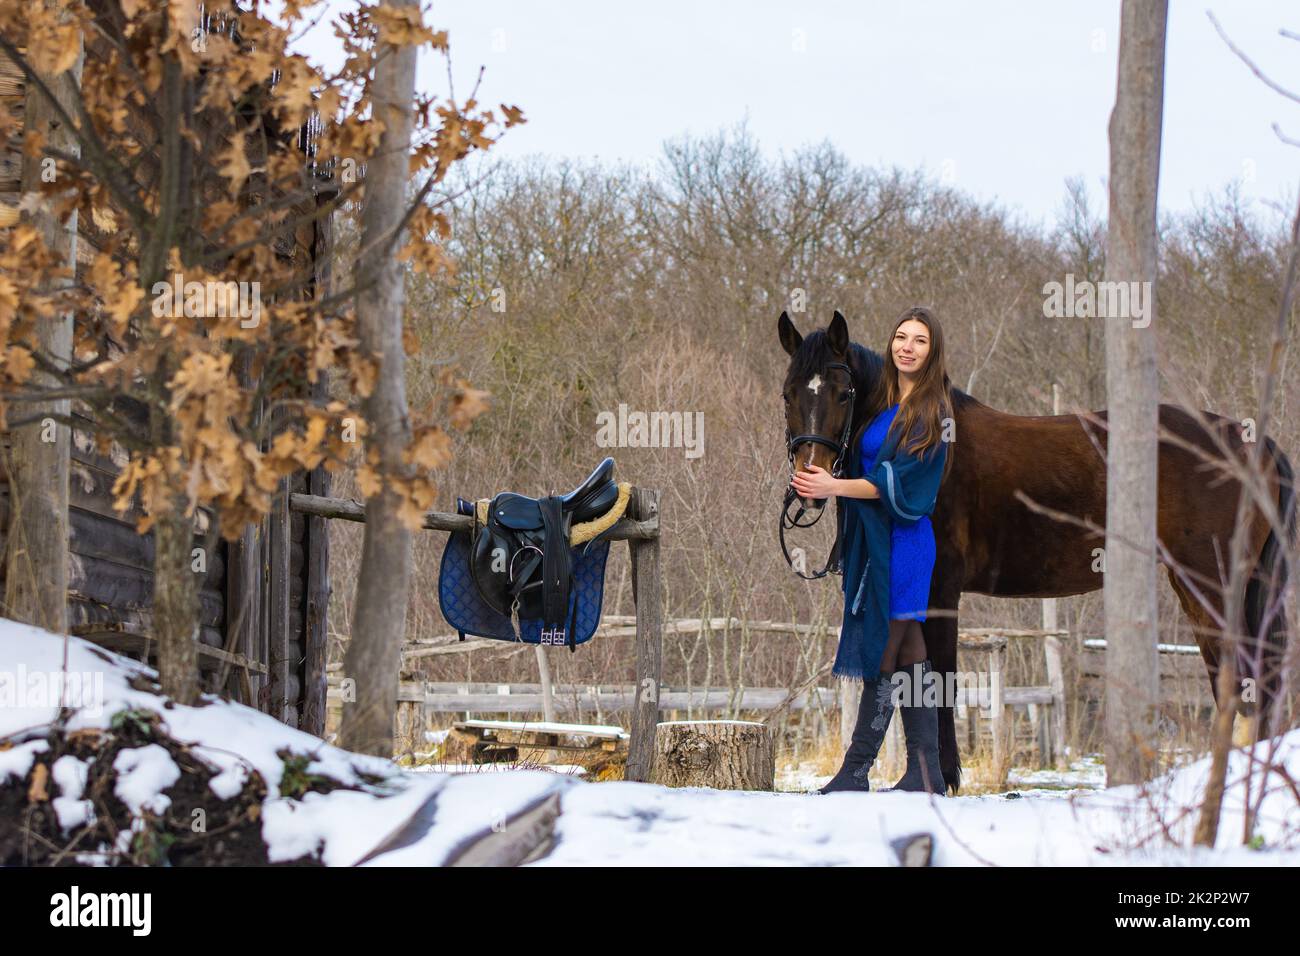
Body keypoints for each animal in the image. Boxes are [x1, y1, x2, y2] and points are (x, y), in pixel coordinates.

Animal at [774, 312, 1294, 790]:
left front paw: (942, 779)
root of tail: (1256, 443)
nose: (810, 484)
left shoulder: (939, 590)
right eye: (788, 394)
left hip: (1211, 585)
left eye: (844, 393)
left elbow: (940, 678)